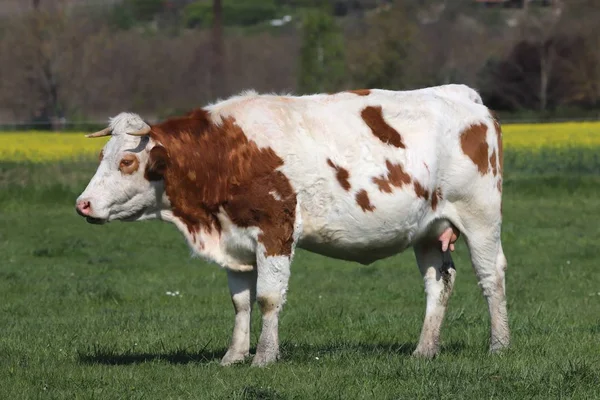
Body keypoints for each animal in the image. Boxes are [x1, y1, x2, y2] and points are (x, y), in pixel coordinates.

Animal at [74, 84, 506, 366]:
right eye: (102, 155)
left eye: (126, 161)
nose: (83, 204)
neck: (227, 155)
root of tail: (465, 96)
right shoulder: (236, 240)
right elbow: (240, 301)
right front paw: (233, 356)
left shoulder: (274, 231)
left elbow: (268, 298)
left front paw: (264, 358)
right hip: (429, 230)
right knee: (439, 282)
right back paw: (424, 350)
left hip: (480, 216)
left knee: (492, 276)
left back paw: (499, 345)